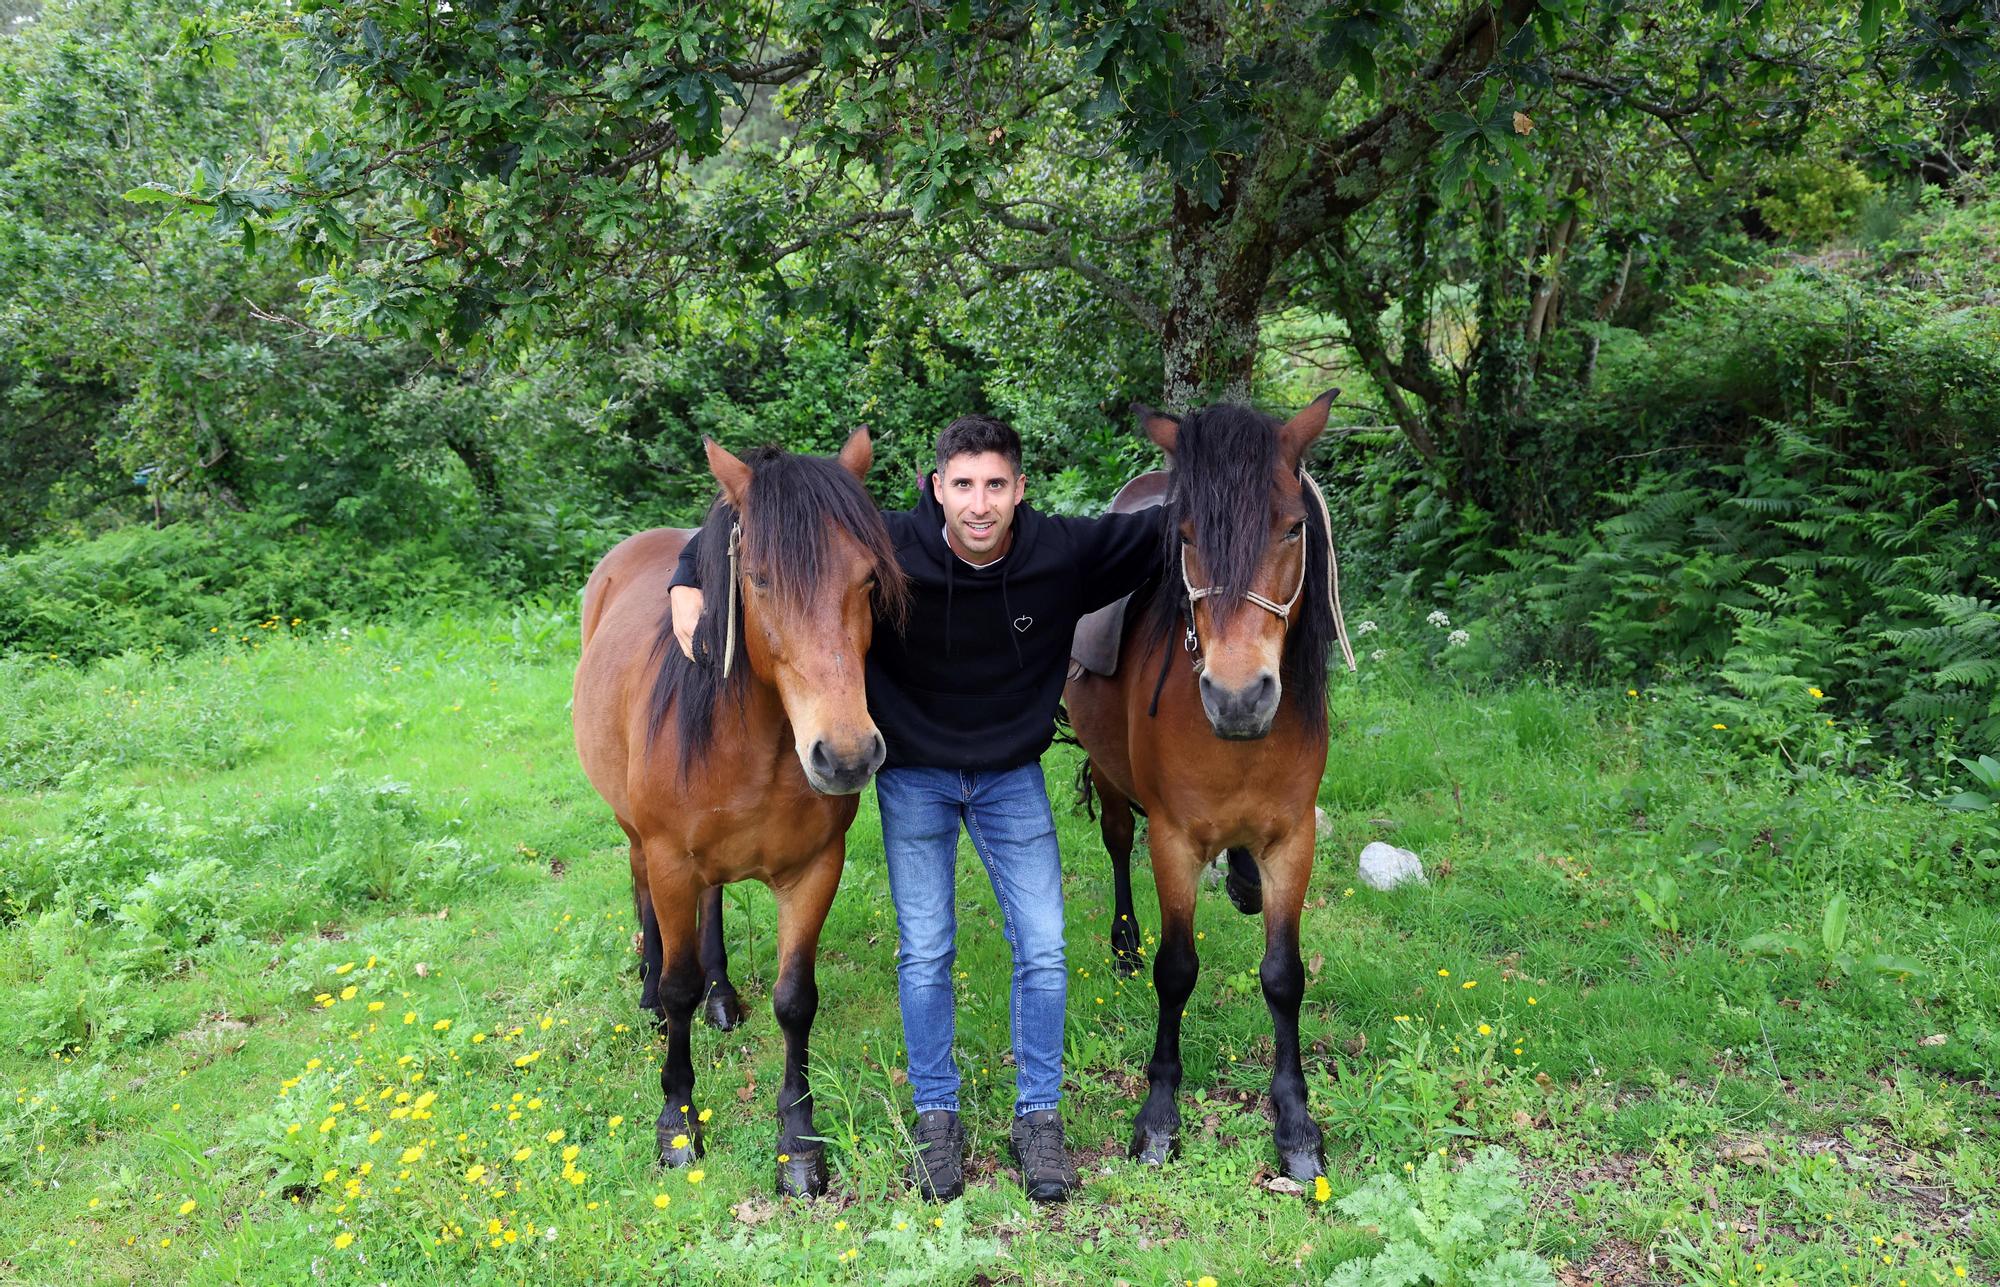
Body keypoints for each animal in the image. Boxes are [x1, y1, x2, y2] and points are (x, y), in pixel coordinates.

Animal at [568, 431, 904, 1199]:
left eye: (869, 579)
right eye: (758, 579)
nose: (845, 755)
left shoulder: (815, 870)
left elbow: (795, 999)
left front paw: (799, 1145)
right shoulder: (670, 859)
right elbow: (679, 987)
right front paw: (677, 1123)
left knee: (713, 905)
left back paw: (723, 997)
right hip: (638, 838)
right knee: (645, 899)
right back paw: (648, 995)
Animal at [1064, 391, 1344, 1183]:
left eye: (1293, 528)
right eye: (1185, 536)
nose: (1239, 696)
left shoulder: (1294, 840)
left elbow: (1283, 975)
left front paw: (1296, 1122)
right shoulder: (1173, 840)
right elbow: (1176, 969)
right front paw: (1159, 1114)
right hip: (1111, 779)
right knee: (1116, 843)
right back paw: (1123, 945)